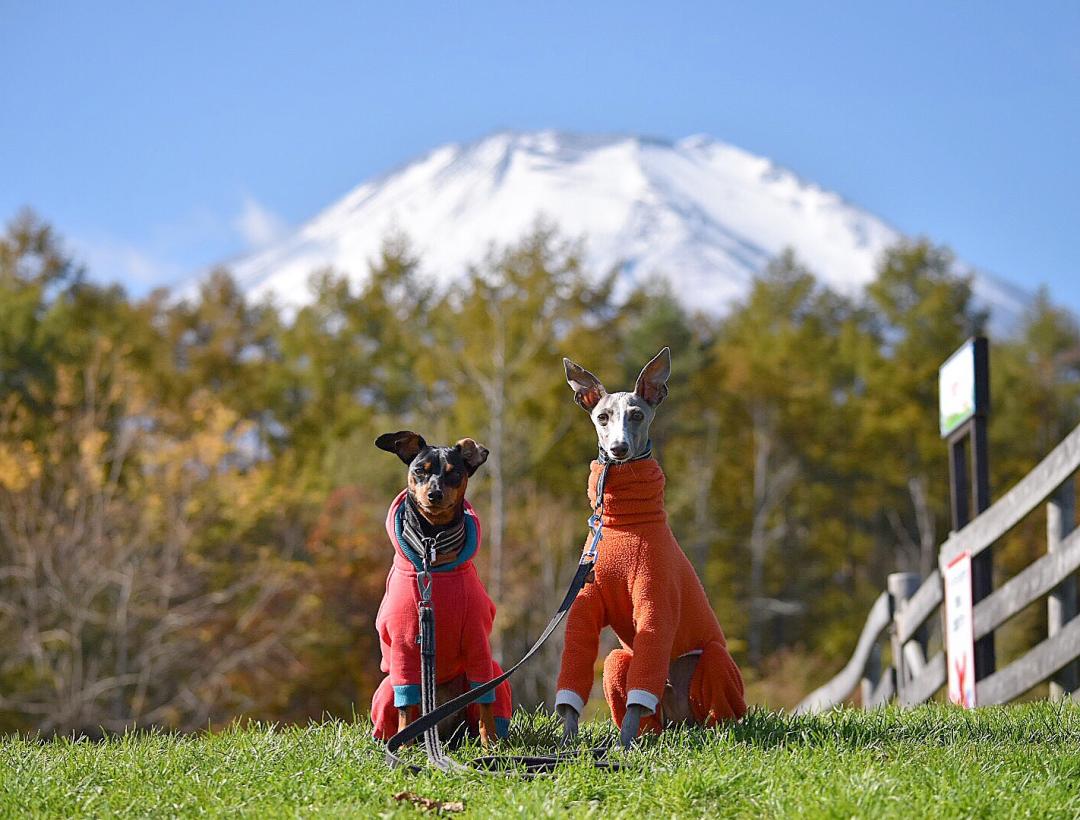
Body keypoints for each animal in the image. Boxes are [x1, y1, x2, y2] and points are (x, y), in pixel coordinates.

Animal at [369, 432, 511, 747]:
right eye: (419, 470)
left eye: (454, 473)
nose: (434, 494)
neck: (432, 544)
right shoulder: (404, 644)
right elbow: (406, 705)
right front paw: (403, 744)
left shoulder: (477, 639)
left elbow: (483, 697)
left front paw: (490, 743)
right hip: (386, 688)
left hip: (495, 674)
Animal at [552, 350, 747, 747]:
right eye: (602, 417)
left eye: (637, 415)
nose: (618, 449)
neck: (621, 527)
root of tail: (681, 720)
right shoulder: (584, 603)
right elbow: (574, 670)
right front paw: (567, 742)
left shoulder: (655, 601)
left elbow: (642, 682)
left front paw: (622, 747)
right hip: (618, 663)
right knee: (628, 681)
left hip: (713, 661)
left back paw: (718, 731)